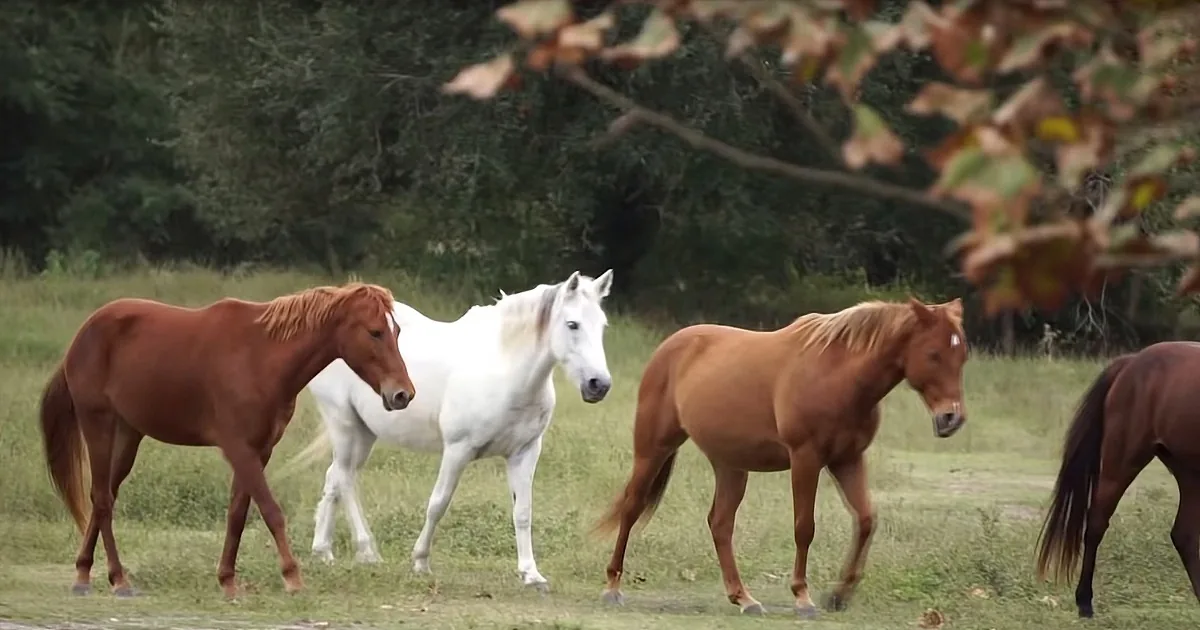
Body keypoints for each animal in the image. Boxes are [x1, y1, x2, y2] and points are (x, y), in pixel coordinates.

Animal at [38, 281, 416, 599]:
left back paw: (83, 573)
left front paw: (228, 580)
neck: (260, 358)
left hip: (129, 434)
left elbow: (237, 513)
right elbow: (271, 510)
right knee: (102, 499)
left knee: (105, 497)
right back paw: (119, 579)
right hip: (97, 425)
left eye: (396, 331)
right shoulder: (239, 449)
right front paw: (292, 577)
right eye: (375, 332)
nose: (403, 395)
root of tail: (82, 336)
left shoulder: (259, 451)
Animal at [284, 269, 614, 591]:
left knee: (336, 478)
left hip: (364, 432)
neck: (506, 370)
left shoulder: (525, 452)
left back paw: (323, 551)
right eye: (572, 324)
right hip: (344, 423)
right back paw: (367, 551)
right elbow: (438, 504)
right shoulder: (458, 449)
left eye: (602, 326)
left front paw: (531, 574)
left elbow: (523, 512)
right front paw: (420, 561)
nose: (599, 385)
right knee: (345, 479)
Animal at [592, 297, 968, 617]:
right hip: (653, 448)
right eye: (933, 354)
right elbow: (804, 527)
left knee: (720, 523)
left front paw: (839, 595)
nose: (952, 419)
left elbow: (865, 520)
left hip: (730, 465)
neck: (839, 374)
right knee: (632, 507)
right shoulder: (806, 459)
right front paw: (803, 597)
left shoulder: (847, 459)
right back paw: (612, 586)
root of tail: (668, 348)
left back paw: (744, 598)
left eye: (962, 355)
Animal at [1036, 341, 1200, 618]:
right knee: (1096, 524)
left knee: (1185, 535)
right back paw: (1084, 602)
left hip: (1189, 473)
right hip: (1122, 462)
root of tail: (1131, 362)